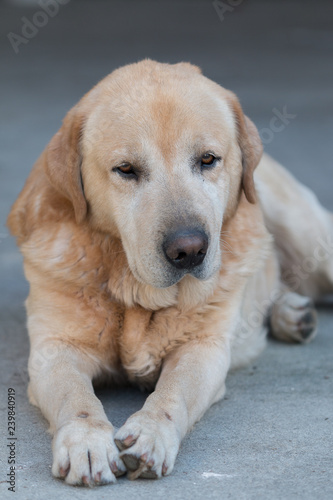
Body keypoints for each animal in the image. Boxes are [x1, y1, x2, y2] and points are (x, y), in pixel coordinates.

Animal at [7, 59, 332, 484]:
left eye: (208, 159)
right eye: (126, 169)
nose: (189, 250)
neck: (136, 293)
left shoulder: (204, 349)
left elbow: (173, 392)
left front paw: (151, 434)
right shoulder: (55, 348)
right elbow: (73, 395)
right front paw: (87, 442)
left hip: (310, 239)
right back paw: (290, 314)